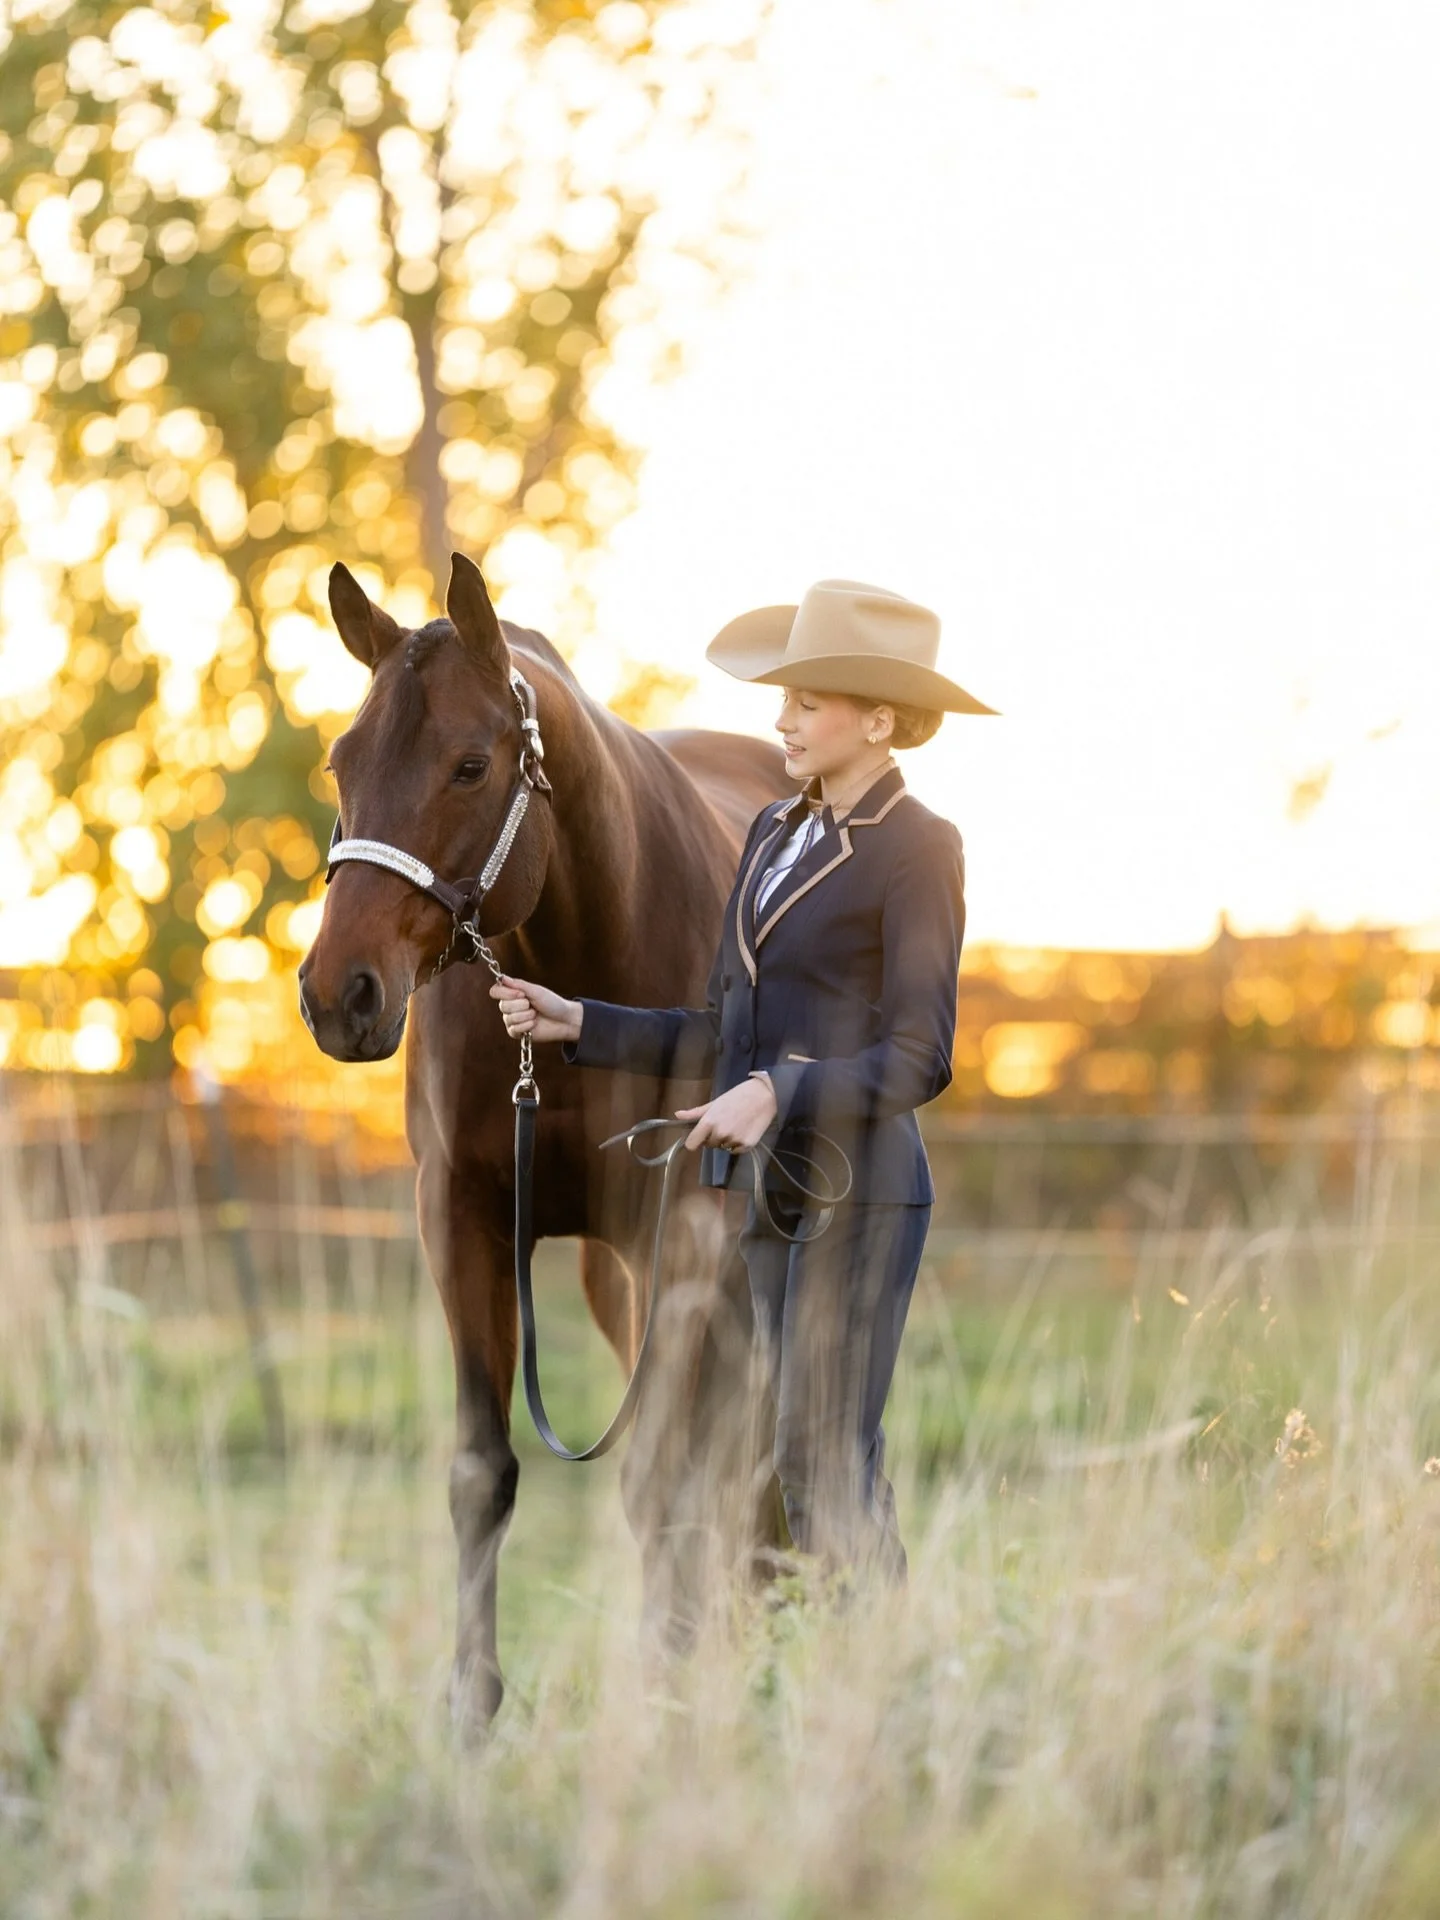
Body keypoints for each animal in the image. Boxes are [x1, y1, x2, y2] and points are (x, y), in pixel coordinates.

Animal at [298, 552, 790, 1729]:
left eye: (471, 765)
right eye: (340, 760)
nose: (340, 996)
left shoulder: (685, 1229)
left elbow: (662, 1474)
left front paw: (663, 1694)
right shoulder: (464, 1218)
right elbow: (483, 1473)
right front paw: (472, 1717)